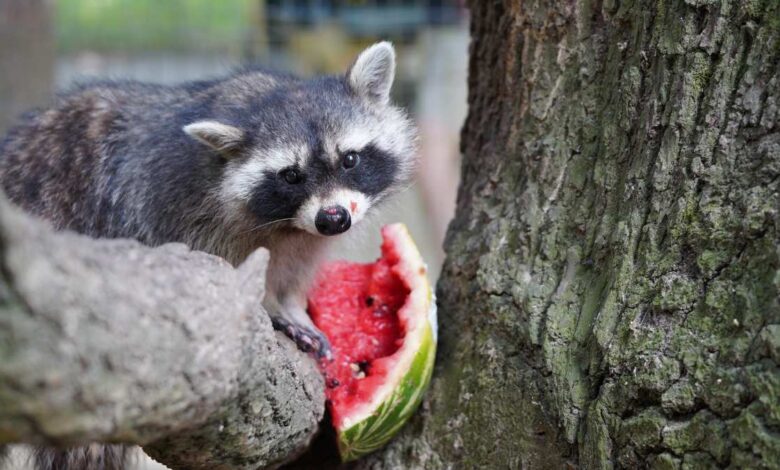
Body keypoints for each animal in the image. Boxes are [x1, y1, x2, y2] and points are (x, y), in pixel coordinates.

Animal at [0, 42, 417, 469]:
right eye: (291, 176)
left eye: (349, 159)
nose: (333, 218)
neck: (288, 224)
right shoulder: (175, 204)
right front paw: (270, 306)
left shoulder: (306, 238)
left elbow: (295, 268)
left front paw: (290, 303)